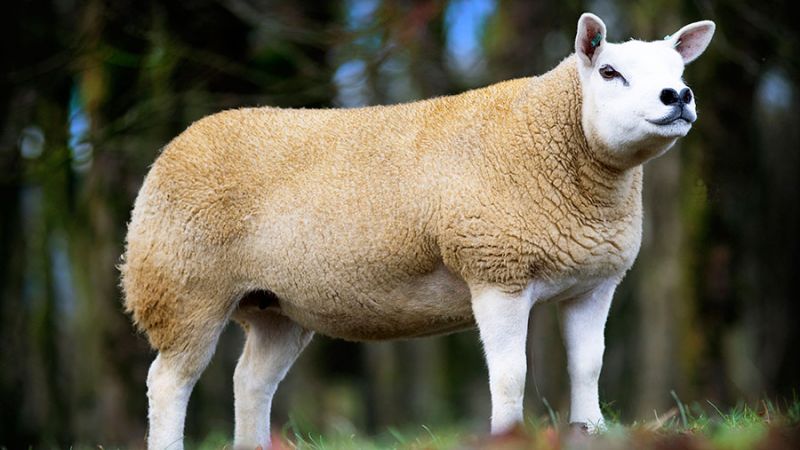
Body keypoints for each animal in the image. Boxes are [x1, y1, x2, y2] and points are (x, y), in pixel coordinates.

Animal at [120, 13, 715, 450]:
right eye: (610, 72)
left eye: (679, 70)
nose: (678, 97)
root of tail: (174, 147)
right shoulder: (495, 268)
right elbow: (510, 374)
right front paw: (508, 435)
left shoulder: (594, 281)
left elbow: (588, 366)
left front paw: (588, 432)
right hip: (184, 286)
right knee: (168, 383)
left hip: (276, 305)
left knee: (250, 381)